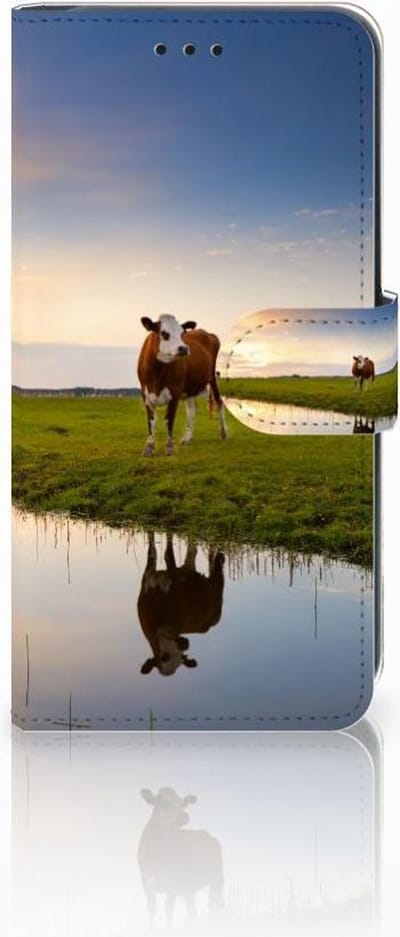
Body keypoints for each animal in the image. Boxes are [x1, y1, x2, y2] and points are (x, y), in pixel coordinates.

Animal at [137, 314, 228, 456]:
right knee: (191, 409)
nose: (184, 348)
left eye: (182, 333)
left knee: (219, 401)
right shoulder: (146, 394)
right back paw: (187, 438)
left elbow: (169, 419)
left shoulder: (175, 392)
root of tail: (207, 333)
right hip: (190, 387)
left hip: (212, 376)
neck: (157, 373)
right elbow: (151, 421)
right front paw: (149, 448)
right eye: (164, 333)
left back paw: (223, 433)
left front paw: (170, 448)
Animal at [138, 532, 225, 676]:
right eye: (164, 657)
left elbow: (168, 554)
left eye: (181, 657)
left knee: (217, 576)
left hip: (216, 611)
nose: (186, 644)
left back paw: (220, 558)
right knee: (192, 552)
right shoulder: (148, 577)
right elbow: (152, 552)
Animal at [138, 787, 224, 926]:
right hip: (189, 887)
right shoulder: (148, 885)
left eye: (183, 804)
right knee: (193, 911)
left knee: (214, 904)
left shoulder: (172, 885)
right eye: (165, 803)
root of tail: (208, 835)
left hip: (217, 878)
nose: (184, 816)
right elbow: (152, 912)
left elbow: (168, 911)